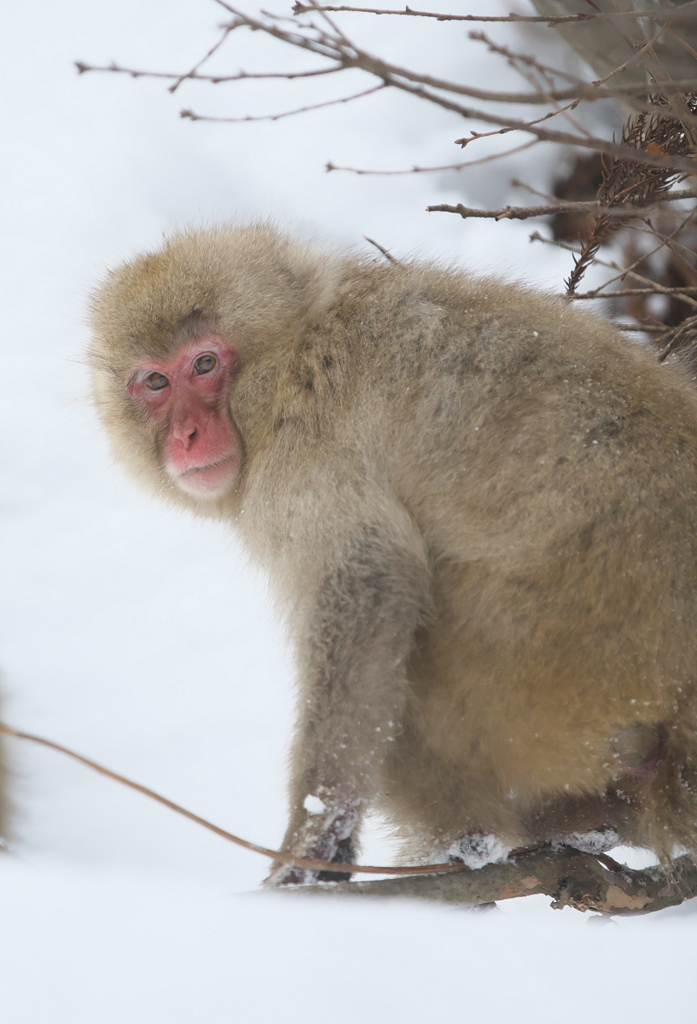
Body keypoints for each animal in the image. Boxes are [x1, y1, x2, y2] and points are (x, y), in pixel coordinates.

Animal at [88, 224, 697, 880]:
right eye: (155, 382)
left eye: (204, 363)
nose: (187, 435)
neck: (294, 350)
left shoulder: (307, 440)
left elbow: (369, 581)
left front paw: (310, 842)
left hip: (561, 684)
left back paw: (475, 841)